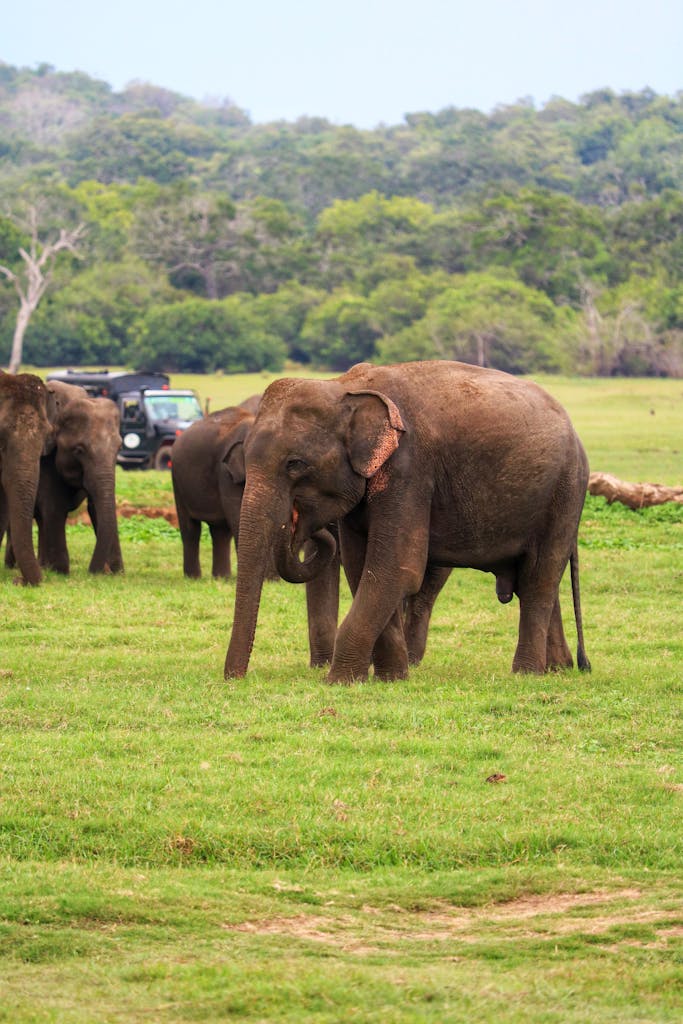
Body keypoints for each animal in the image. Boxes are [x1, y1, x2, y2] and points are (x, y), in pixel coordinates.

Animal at [224, 360, 591, 683]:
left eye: (295, 464)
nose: (235, 679)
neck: (344, 387)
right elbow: (361, 568)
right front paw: (391, 678)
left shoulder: (409, 468)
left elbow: (396, 569)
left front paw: (339, 681)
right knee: (537, 580)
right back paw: (557, 668)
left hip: (565, 493)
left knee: (540, 577)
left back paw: (527, 673)